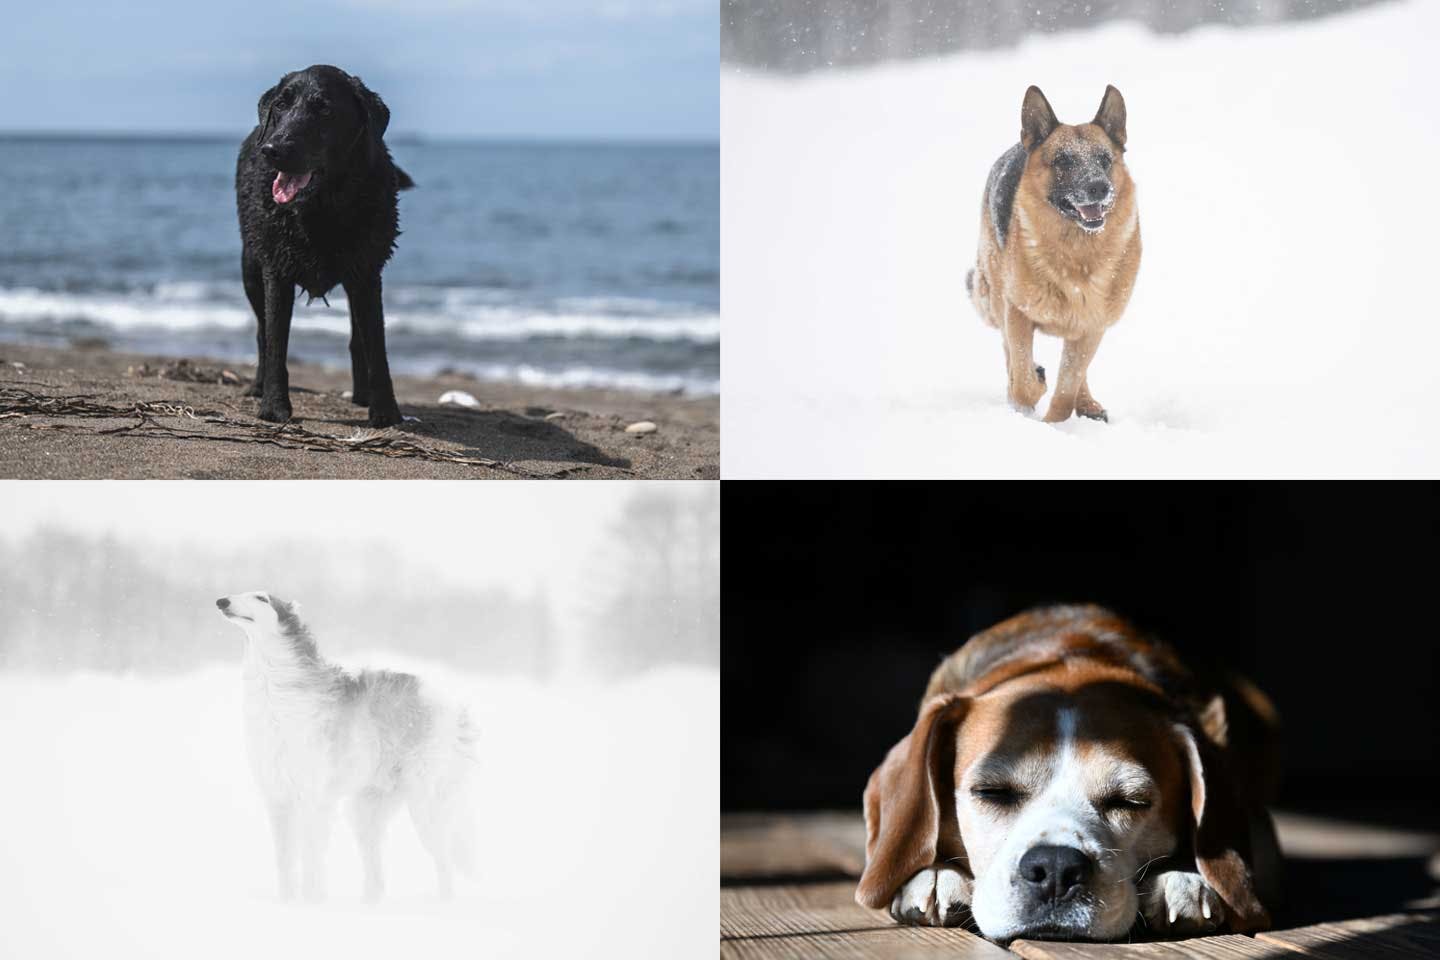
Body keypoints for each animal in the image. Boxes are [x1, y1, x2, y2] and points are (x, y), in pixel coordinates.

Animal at [216, 590, 478, 903]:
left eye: (262, 598)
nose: (221, 601)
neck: (274, 692)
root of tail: (455, 707)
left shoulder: (313, 798)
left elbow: (311, 860)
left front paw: (311, 903)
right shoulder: (278, 799)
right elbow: (285, 862)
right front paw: (287, 903)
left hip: (423, 805)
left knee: (444, 861)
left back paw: (446, 903)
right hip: (366, 811)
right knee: (377, 878)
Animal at [236, 65, 414, 426]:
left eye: (324, 110)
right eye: (281, 105)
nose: (272, 149)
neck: (322, 207)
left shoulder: (367, 273)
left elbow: (376, 344)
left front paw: (385, 412)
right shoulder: (276, 270)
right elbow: (276, 340)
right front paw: (274, 407)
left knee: (358, 339)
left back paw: (362, 395)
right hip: (250, 267)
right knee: (262, 332)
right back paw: (258, 386)